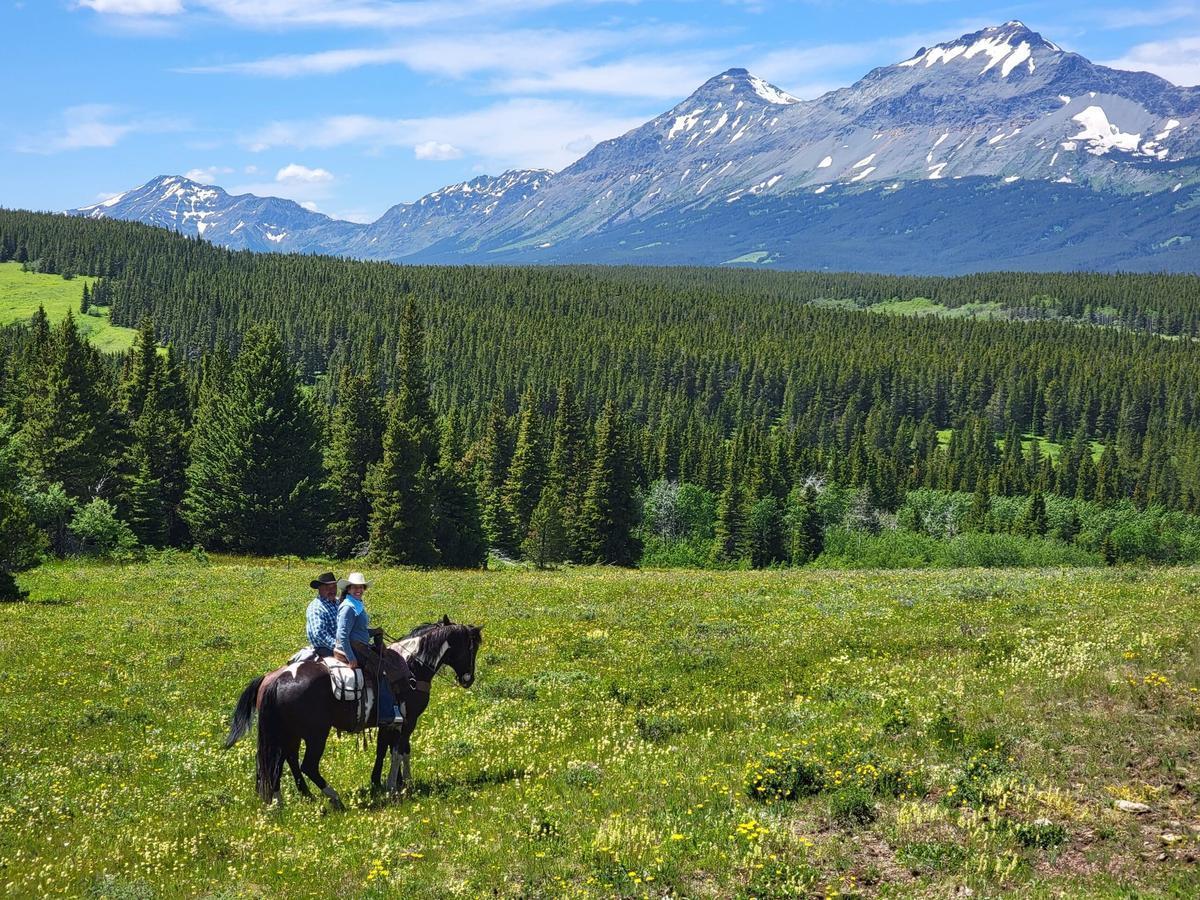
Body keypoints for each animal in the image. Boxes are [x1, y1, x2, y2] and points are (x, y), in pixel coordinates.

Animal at [226, 619, 480, 811]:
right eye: (472, 648)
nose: (468, 679)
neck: (413, 666)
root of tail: (276, 679)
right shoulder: (408, 721)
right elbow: (400, 751)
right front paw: (397, 785)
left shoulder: (388, 723)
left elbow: (385, 749)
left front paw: (384, 781)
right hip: (315, 734)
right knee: (307, 765)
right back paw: (334, 798)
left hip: (287, 733)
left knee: (280, 761)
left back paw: (284, 800)